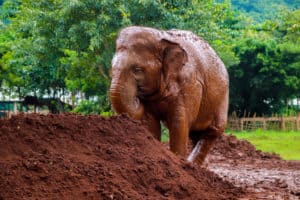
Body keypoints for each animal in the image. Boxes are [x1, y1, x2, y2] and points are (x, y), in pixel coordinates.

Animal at [110, 25, 230, 165]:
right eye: (111, 69)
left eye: (137, 70)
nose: (137, 99)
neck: (161, 36)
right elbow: (151, 122)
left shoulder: (191, 85)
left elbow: (179, 122)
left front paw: (178, 161)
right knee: (195, 134)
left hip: (222, 99)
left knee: (212, 131)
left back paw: (192, 164)